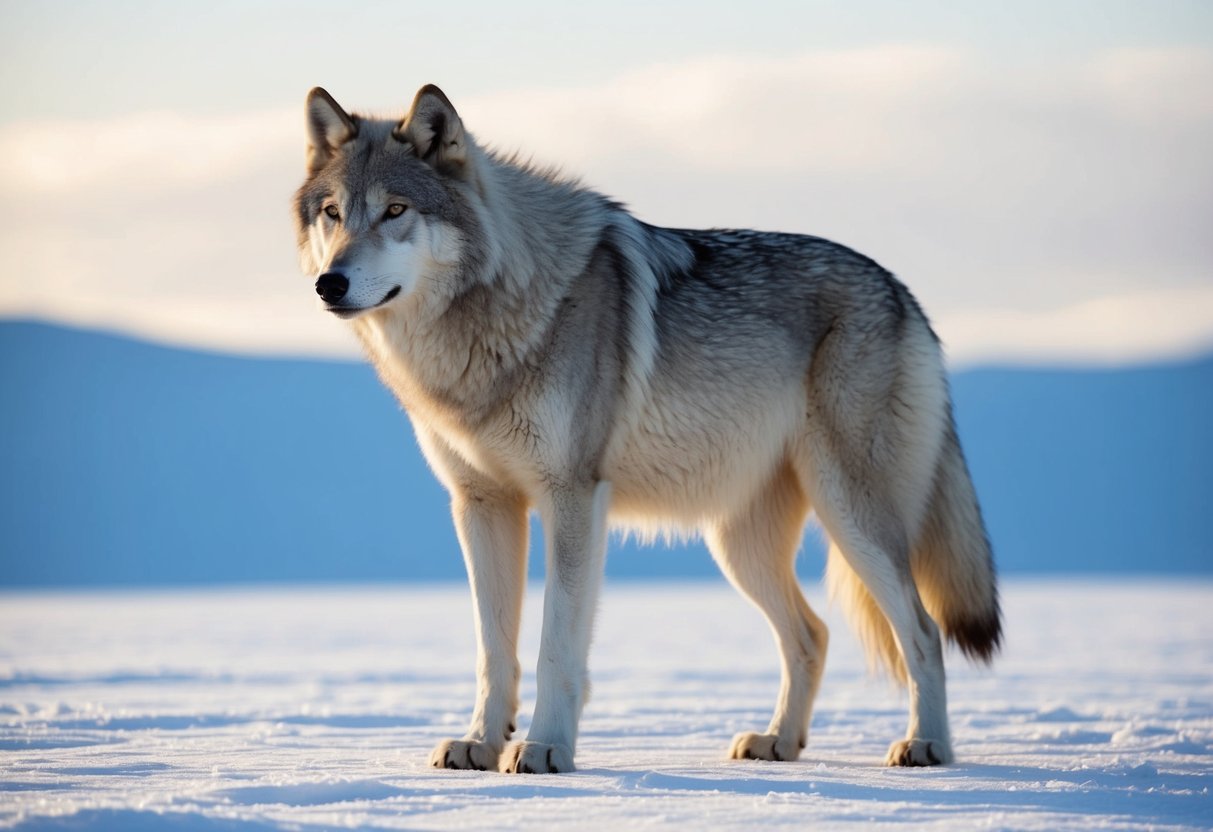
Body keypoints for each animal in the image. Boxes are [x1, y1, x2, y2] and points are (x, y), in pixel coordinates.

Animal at [293, 84, 1002, 773]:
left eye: (395, 211)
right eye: (333, 213)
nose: (331, 284)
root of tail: (905, 294)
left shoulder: (572, 497)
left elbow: (555, 645)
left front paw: (545, 749)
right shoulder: (480, 505)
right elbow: (494, 651)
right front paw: (480, 744)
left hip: (852, 517)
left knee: (922, 630)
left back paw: (926, 746)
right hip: (739, 546)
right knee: (813, 634)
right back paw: (778, 741)